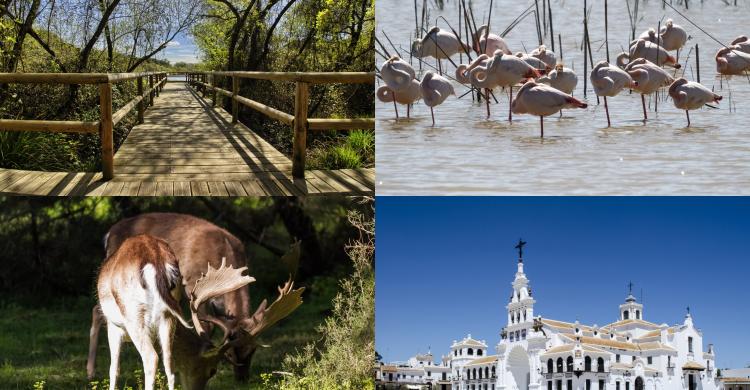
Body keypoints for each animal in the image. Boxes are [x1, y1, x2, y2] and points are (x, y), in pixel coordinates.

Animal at [89, 213, 260, 380]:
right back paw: (90, 372)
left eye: (253, 350)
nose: (242, 379)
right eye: (231, 353)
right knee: (98, 310)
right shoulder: (193, 283)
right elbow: (206, 326)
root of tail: (109, 233)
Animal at [99, 233, 306, 388]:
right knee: (168, 362)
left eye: (213, 371)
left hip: (134, 315)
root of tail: (156, 261)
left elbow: (113, 370)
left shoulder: (113, 326)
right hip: (166, 316)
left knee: (151, 358)